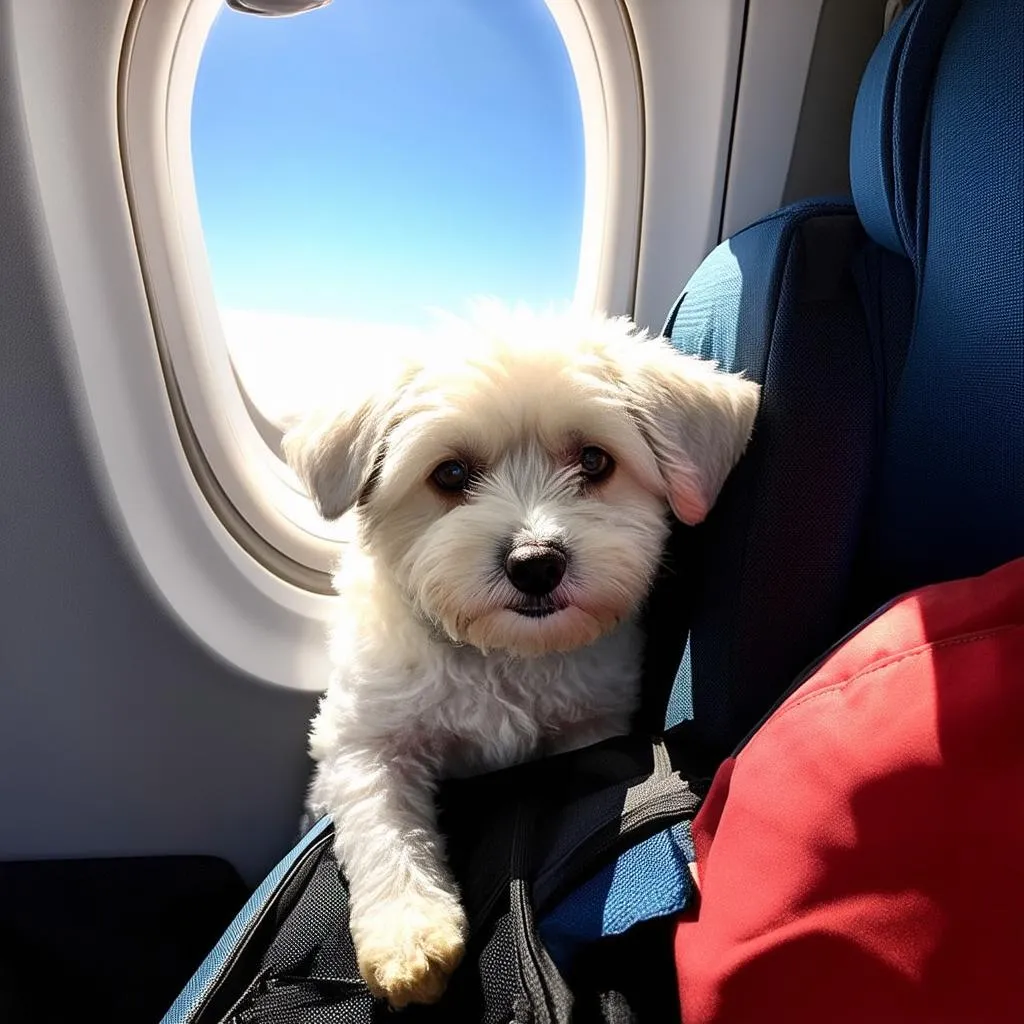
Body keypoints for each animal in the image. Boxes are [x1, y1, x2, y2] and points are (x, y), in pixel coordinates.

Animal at [280, 303, 761, 1007]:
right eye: (450, 473)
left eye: (594, 460)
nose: (535, 563)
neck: (502, 654)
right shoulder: (367, 739)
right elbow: (383, 824)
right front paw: (408, 933)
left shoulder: (589, 727)